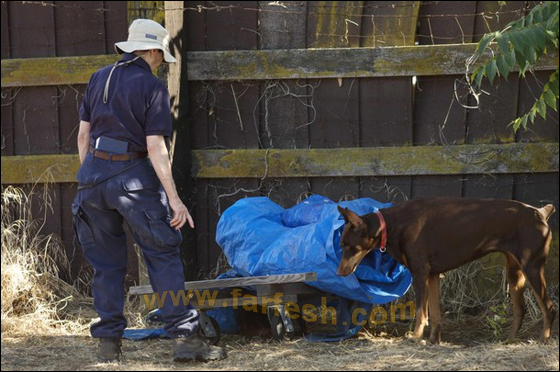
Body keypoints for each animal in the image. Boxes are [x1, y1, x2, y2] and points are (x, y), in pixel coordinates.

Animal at [336, 196, 556, 344]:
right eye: (341, 244)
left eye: (349, 246)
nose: (339, 273)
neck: (392, 225)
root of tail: (541, 212)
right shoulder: (433, 275)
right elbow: (435, 314)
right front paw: (434, 340)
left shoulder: (420, 273)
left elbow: (421, 313)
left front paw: (415, 337)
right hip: (514, 271)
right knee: (520, 308)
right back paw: (508, 341)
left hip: (532, 266)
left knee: (549, 307)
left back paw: (543, 340)